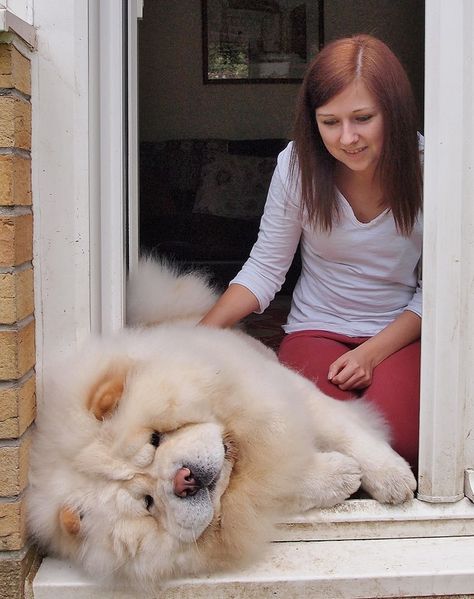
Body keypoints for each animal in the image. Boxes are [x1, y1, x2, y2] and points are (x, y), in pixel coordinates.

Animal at [27, 260, 416, 588]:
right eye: (148, 502)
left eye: (155, 439)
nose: (184, 479)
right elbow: (285, 484)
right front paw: (341, 474)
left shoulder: (289, 393)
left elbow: (346, 431)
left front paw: (393, 477)